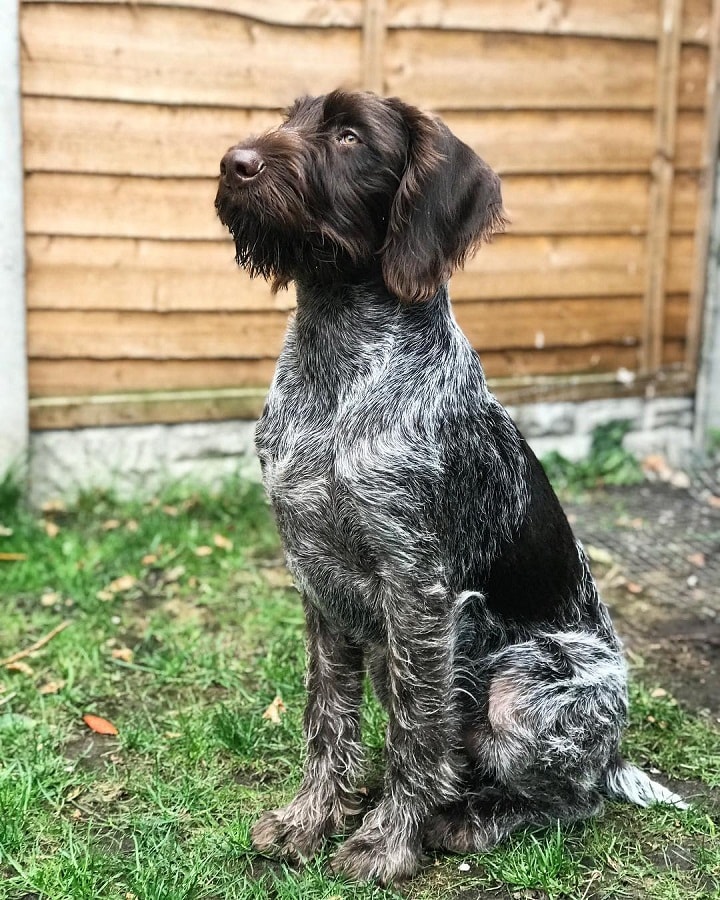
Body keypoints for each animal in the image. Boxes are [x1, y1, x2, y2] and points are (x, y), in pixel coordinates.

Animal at [214, 91, 688, 884]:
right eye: (290, 117)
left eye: (349, 136)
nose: (233, 162)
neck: (335, 366)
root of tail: (617, 754)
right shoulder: (319, 584)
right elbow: (327, 716)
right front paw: (313, 819)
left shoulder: (419, 590)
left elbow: (415, 731)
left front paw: (385, 842)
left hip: (520, 691)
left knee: (573, 798)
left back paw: (470, 818)